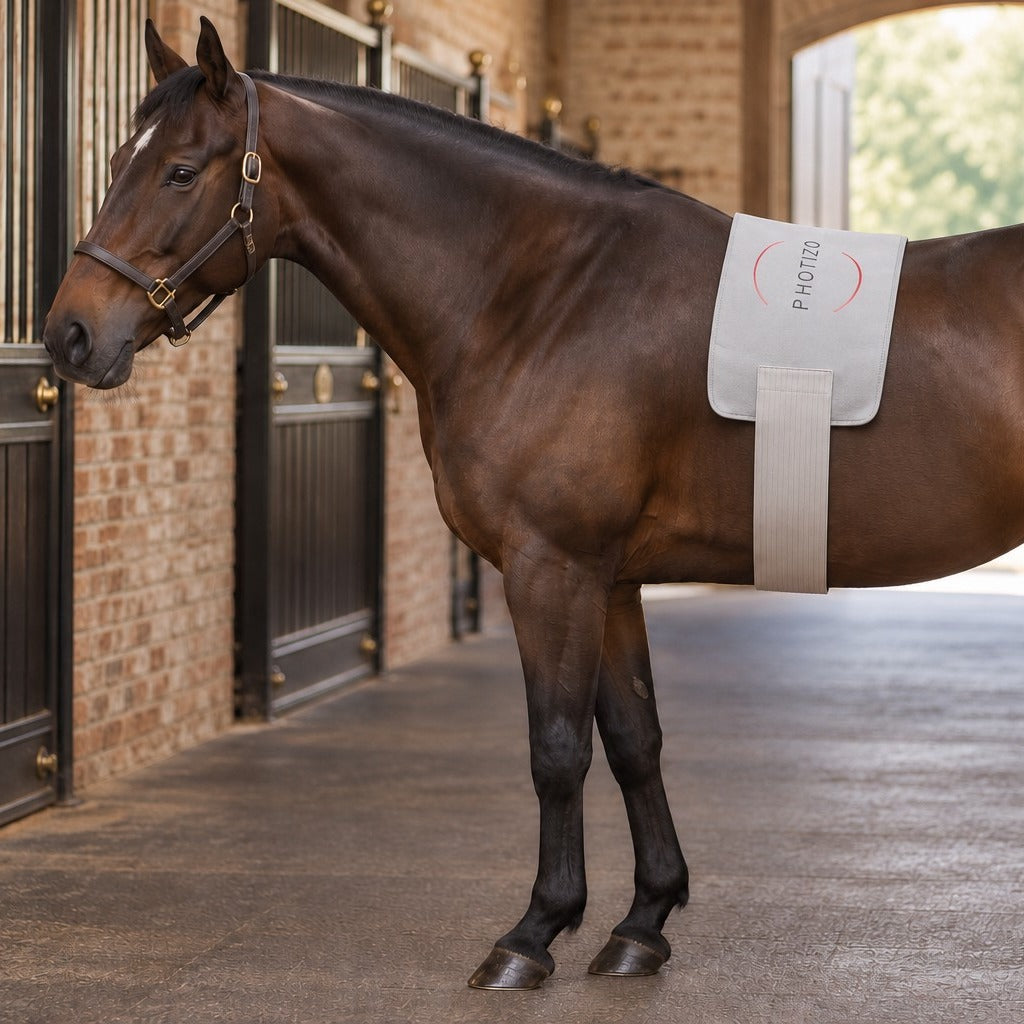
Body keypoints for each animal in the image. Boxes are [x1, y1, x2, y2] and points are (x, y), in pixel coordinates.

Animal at [42, 18, 1024, 990]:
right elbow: (632, 739)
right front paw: (643, 923)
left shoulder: (552, 568)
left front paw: (534, 932)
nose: (70, 335)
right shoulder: (611, 580)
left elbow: (556, 749)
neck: (543, 296)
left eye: (179, 171)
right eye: (121, 159)